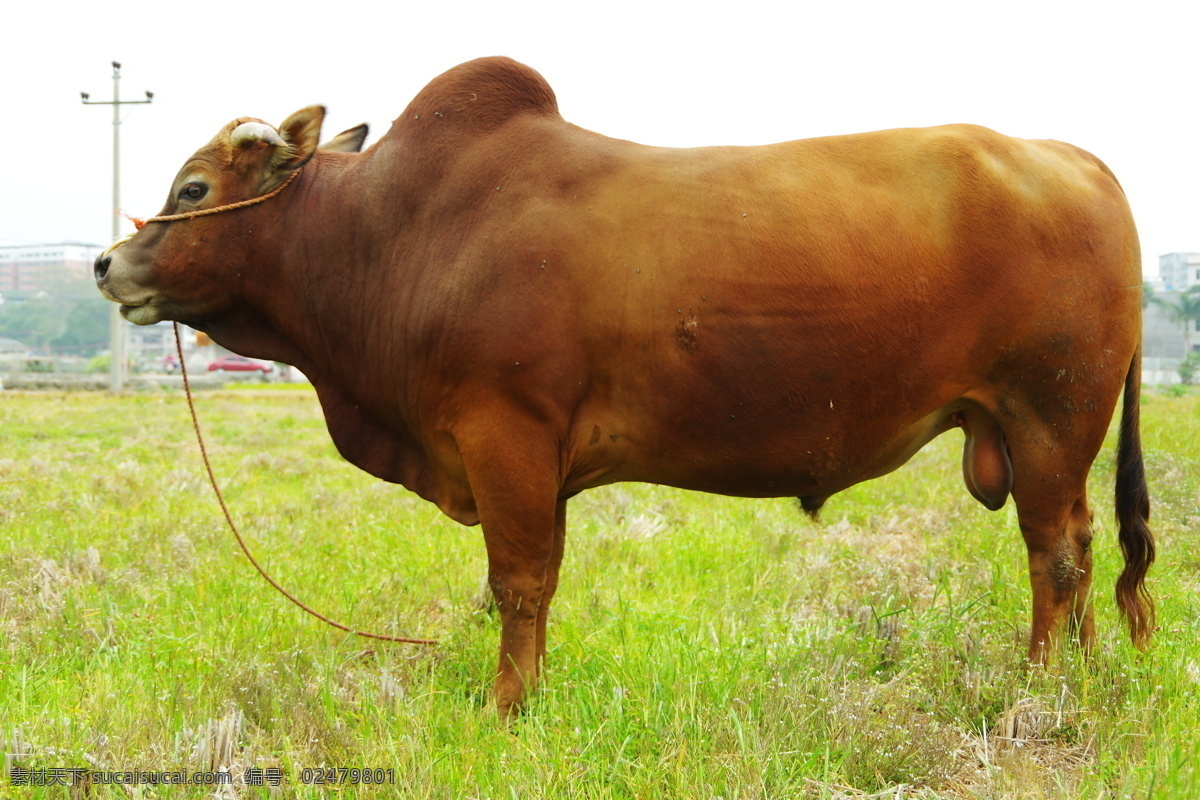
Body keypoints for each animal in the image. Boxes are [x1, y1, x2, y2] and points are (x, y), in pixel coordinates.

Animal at [96, 57, 1152, 719]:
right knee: (1083, 545)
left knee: (1056, 556)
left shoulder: (507, 434)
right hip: (1047, 434)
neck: (396, 231)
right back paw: (1090, 676)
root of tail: (1074, 159)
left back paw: (1040, 685)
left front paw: (506, 704)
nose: (108, 264)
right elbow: (533, 584)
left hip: (1051, 416)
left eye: (193, 190)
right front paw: (532, 691)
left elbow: (518, 582)